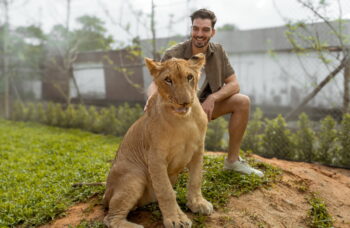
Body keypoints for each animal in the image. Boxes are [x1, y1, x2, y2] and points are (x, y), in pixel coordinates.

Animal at [103, 53, 213, 228]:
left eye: (189, 77)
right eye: (168, 80)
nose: (184, 102)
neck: (185, 120)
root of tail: (105, 194)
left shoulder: (198, 150)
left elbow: (196, 180)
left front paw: (197, 203)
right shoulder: (155, 157)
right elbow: (165, 190)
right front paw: (175, 219)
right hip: (135, 177)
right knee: (110, 218)